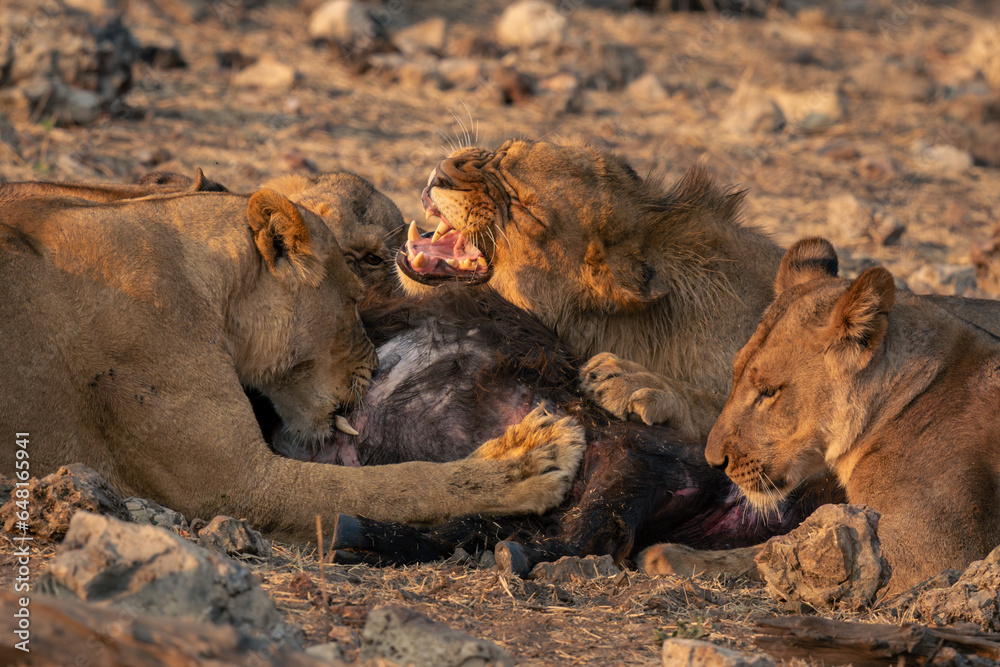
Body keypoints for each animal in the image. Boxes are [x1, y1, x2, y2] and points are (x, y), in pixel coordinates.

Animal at [0, 189, 584, 542]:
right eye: (353, 299)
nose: (375, 365)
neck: (208, 284)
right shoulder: (238, 485)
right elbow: (392, 485)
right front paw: (527, 462)